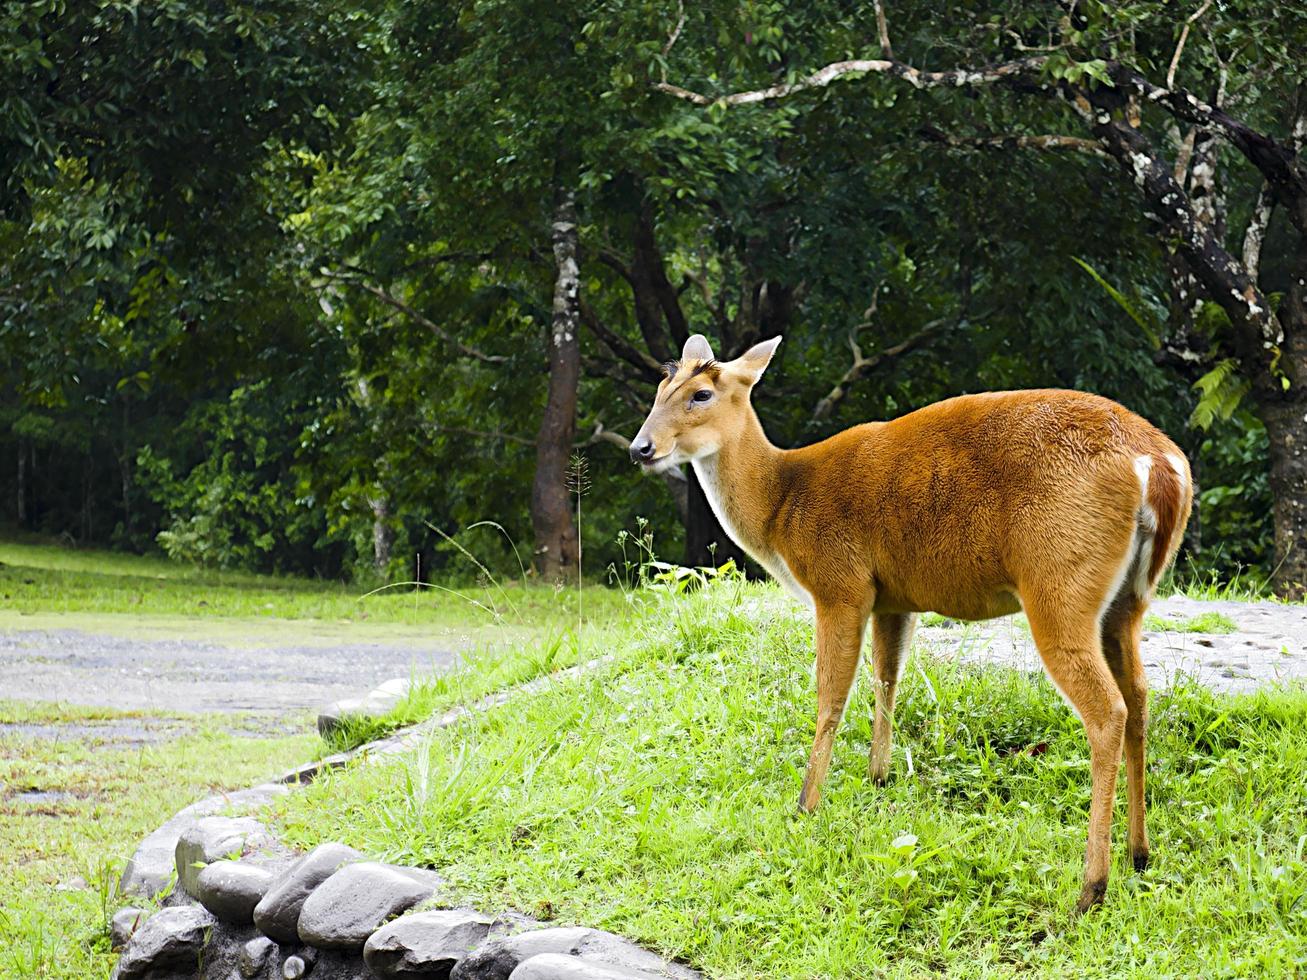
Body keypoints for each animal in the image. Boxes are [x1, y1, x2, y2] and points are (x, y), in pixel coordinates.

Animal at [632, 337, 1197, 914]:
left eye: (701, 394)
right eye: (659, 388)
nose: (641, 448)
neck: (782, 505)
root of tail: (1159, 464)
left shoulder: (841, 584)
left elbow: (831, 696)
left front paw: (806, 804)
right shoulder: (891, 597)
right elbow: (887, 678)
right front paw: (877, 778)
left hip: (1059, 583)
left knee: (1108, 711)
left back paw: (1090, 887)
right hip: (1127, 599)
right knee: (1140, 696)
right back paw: (1139, 853)